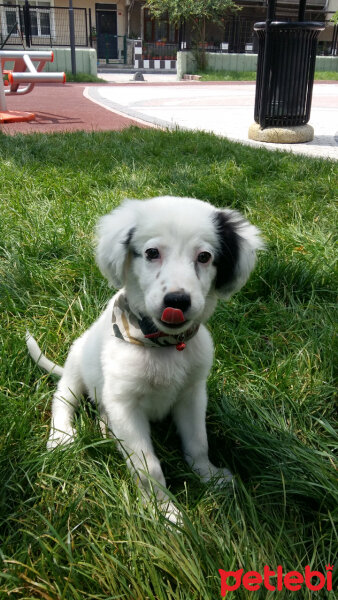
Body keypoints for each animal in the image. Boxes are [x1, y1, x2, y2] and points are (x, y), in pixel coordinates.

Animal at [27, 196, 264, 520]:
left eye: (204, 257)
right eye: (152, 253)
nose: (177, 301)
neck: (163, 346)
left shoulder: (192, 394)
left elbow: (198, 443)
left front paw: (209, 476)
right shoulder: (125, 405)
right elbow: (147, 467)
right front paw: (164, 512)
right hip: (76, 365)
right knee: (62, 398)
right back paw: (61, 435)